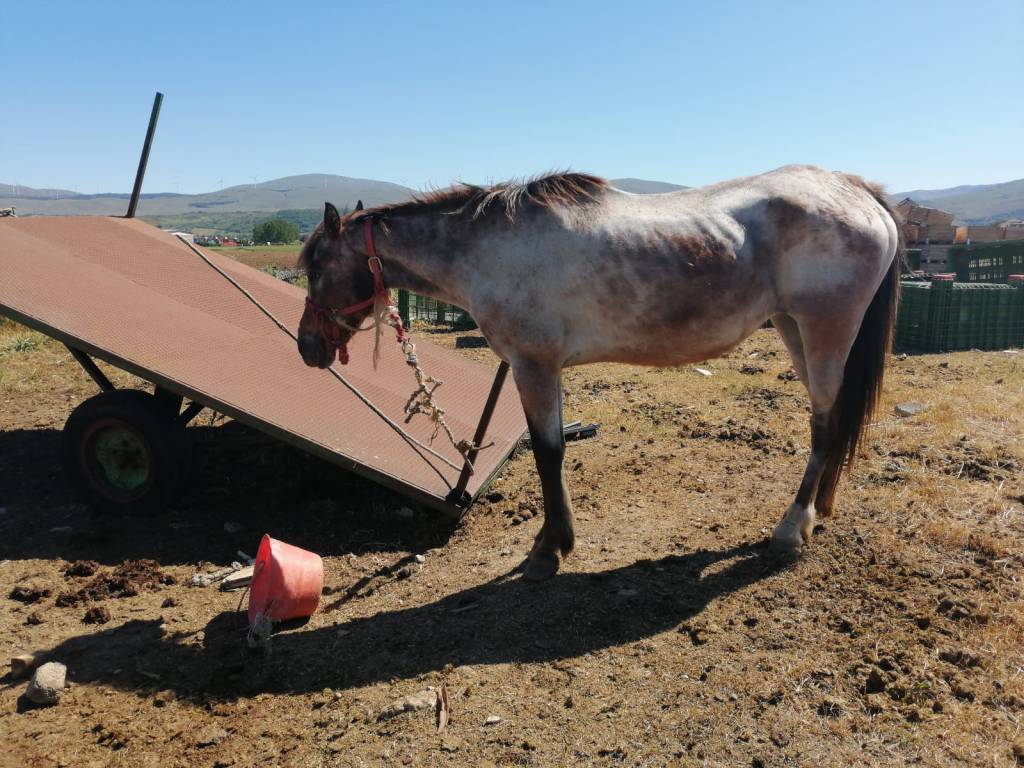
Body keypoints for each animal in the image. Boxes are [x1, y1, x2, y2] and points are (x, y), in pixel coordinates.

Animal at [296, 165, 900, 582]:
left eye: (319, 268)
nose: (307, 347)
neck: (490, 249)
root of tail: (854, 188)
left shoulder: (534, 365)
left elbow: (548, 452)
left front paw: (548, 550)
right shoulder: (539, 368)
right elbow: (553, 448)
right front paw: (554, 541)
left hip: (823, 330)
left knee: (824, 425)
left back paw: (792, 528)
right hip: (794, 329)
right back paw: (819, 510)